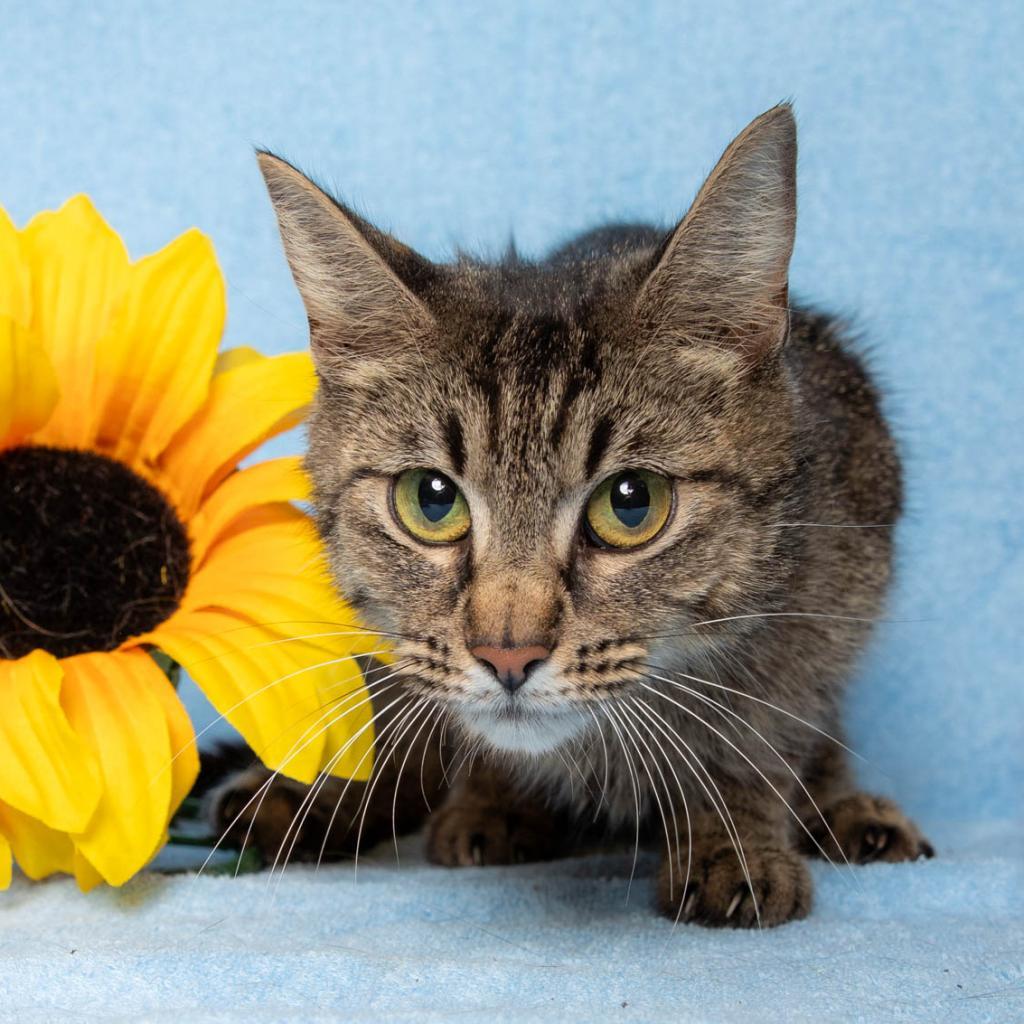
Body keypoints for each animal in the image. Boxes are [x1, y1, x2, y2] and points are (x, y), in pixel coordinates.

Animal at [211, 103, 933, 929]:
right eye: (431, 499)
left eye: (632, 503)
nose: (507, 655)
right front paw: (480, 796)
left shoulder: (819, 608)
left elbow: (754, 739)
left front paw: (735, 842)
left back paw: (844, 810)